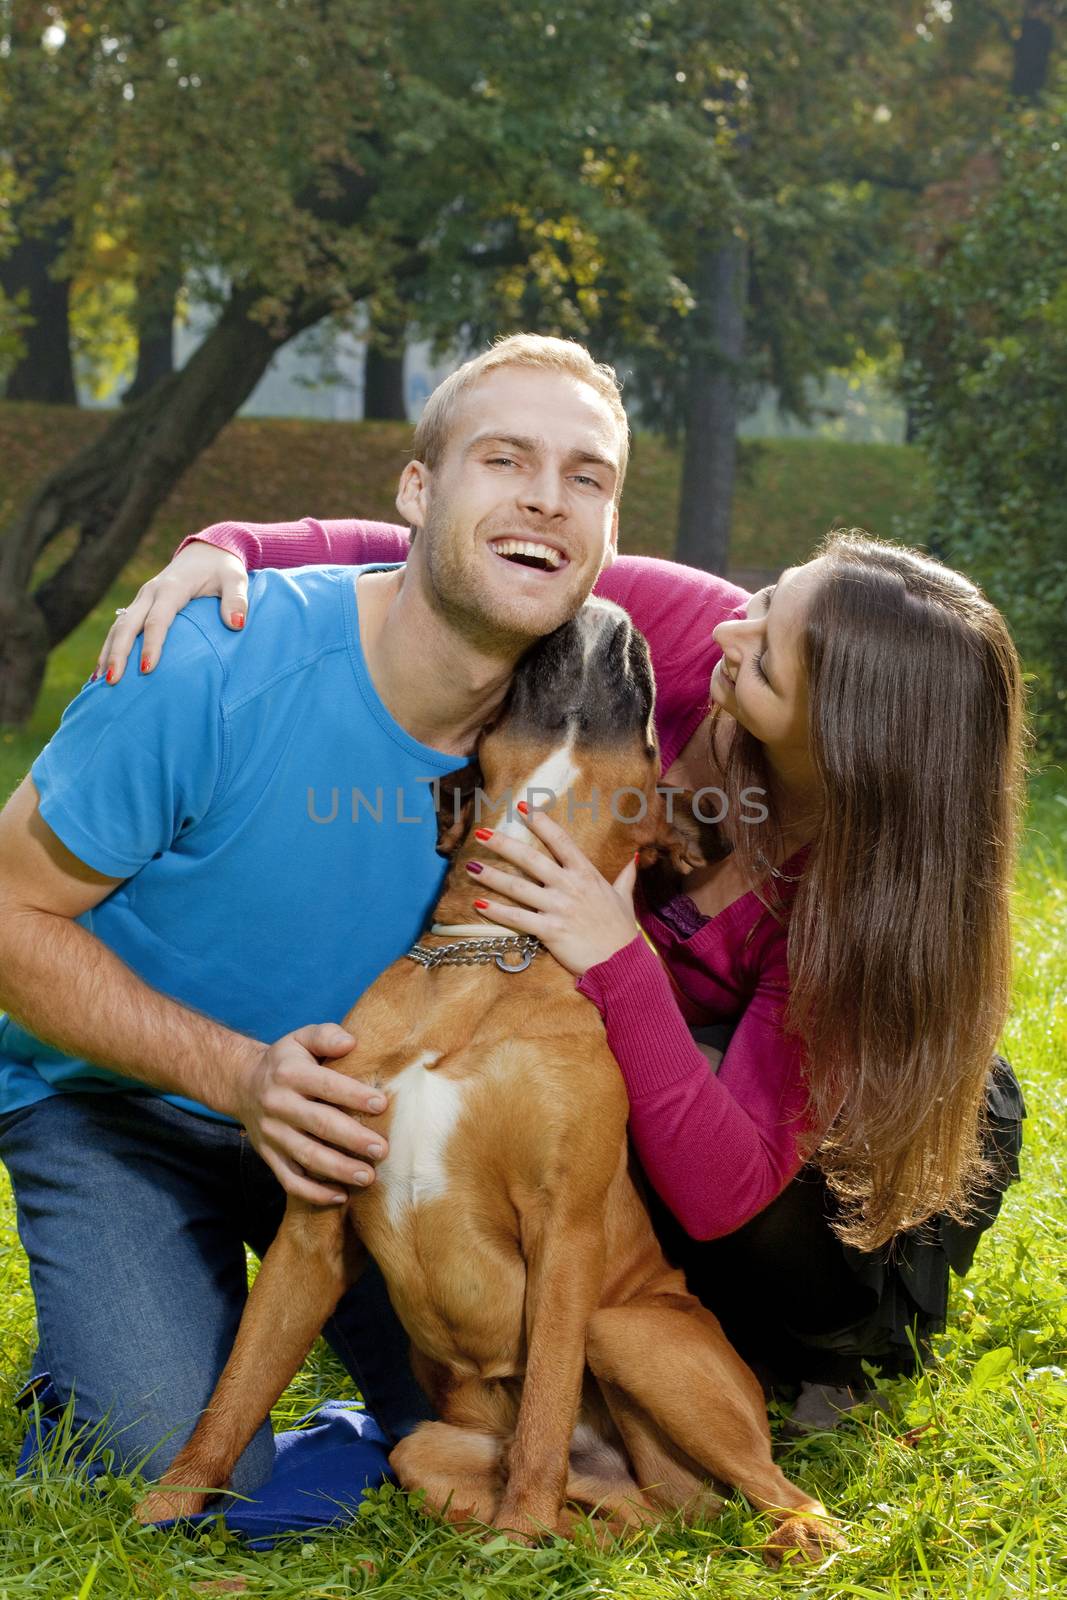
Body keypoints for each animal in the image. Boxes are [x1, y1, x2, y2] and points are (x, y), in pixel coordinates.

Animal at [139, 601, 844, 1561]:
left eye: (653, 736)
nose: (600, 609)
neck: (488, 953)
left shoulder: (564, 1229)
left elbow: (545, 1398)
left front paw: (521, 1520)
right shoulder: (313, 1229)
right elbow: (234, 1390)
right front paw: (163, 1512)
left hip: (627, 1331)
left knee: (786, 1496)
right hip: (432, 1450)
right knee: (613, 1522)